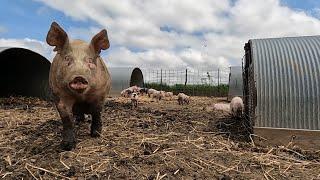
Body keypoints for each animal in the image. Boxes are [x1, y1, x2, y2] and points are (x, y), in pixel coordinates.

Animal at [46, 21, 111, 150]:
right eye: (67, 58)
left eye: (90, 60)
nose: (79, 77)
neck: (81, 96)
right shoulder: (59, 94)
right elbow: (66, 118)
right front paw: (67, 146)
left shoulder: (101, 93)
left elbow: (97, 112)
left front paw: (96, 135)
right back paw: (79, 121)